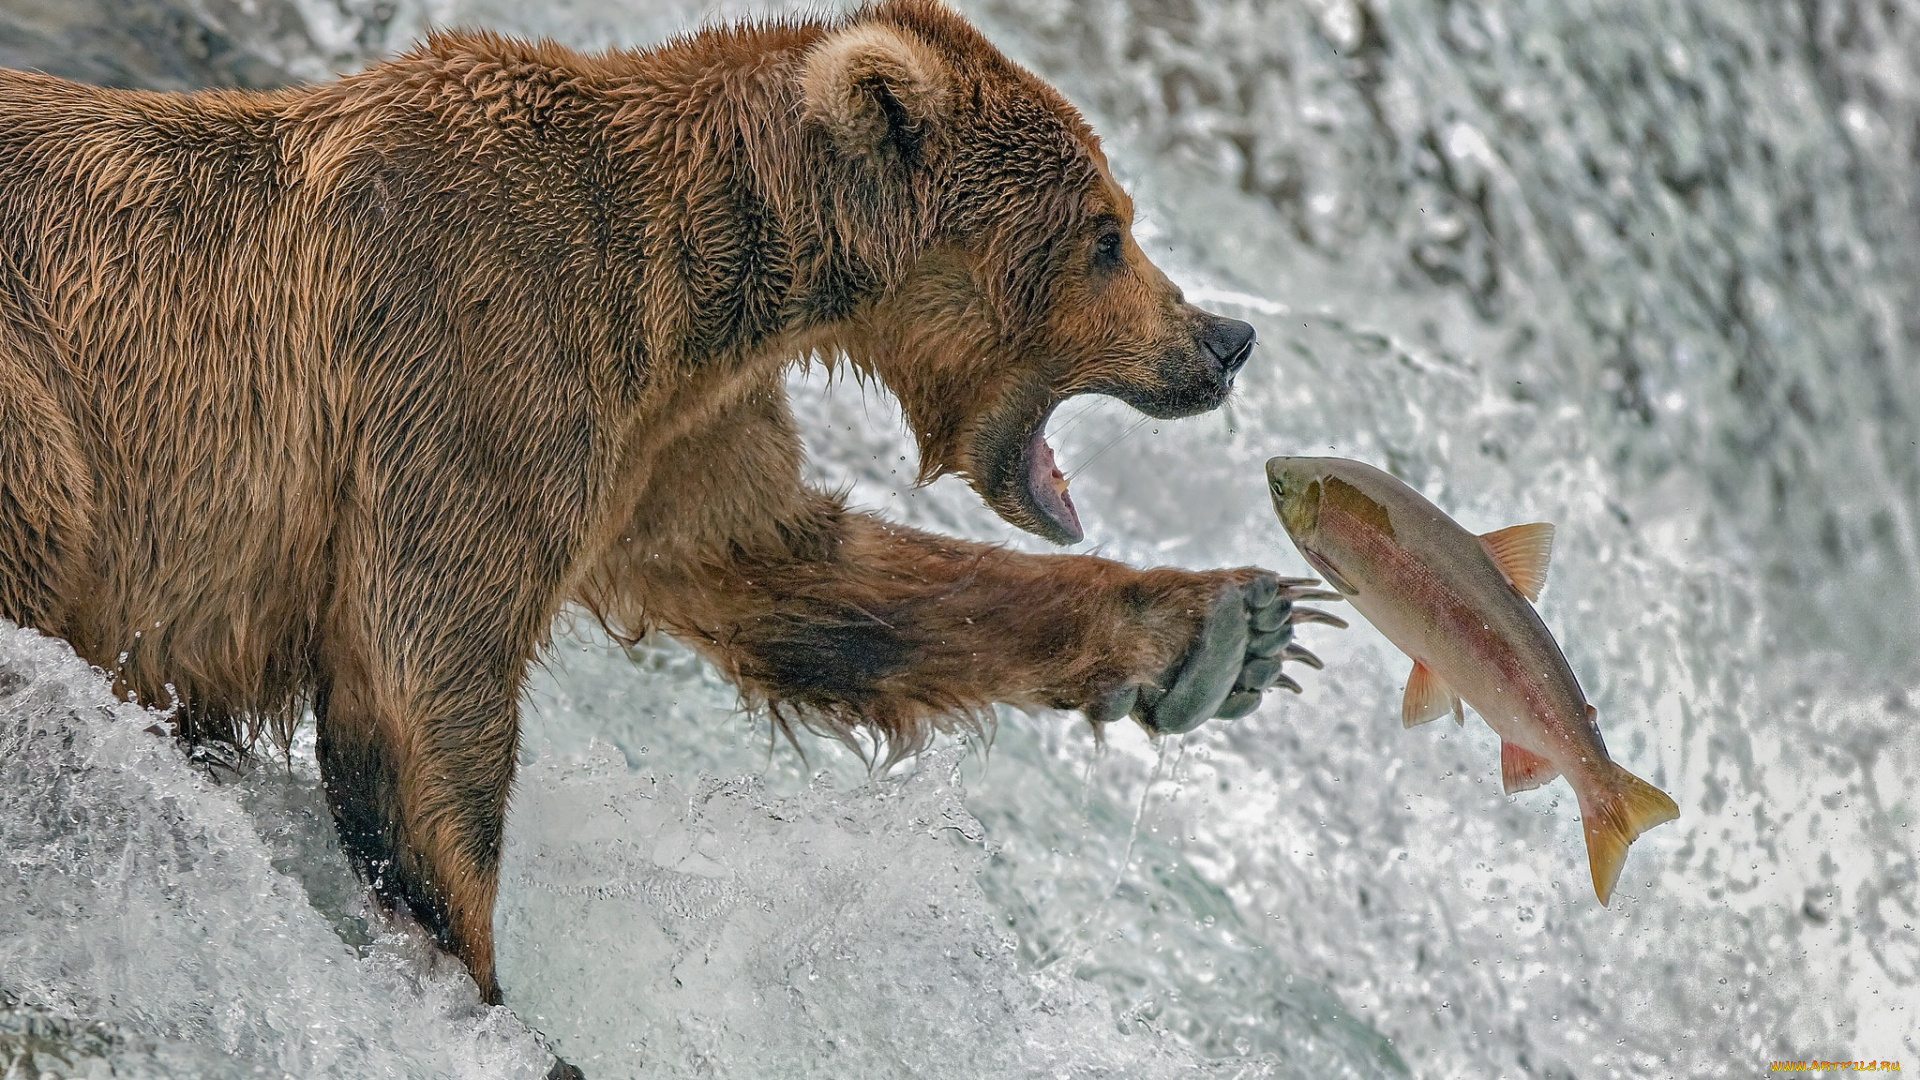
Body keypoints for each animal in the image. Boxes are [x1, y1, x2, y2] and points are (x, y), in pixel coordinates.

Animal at [0, 0, 1336, 1006]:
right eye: (1107, 235)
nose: (1225, 340)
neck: (701, 285)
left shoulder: (673, 439)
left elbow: (803, 575)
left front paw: (1230, 628)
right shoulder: (474, 360)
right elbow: (424, 684)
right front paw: (483, 993)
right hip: (41, 408)